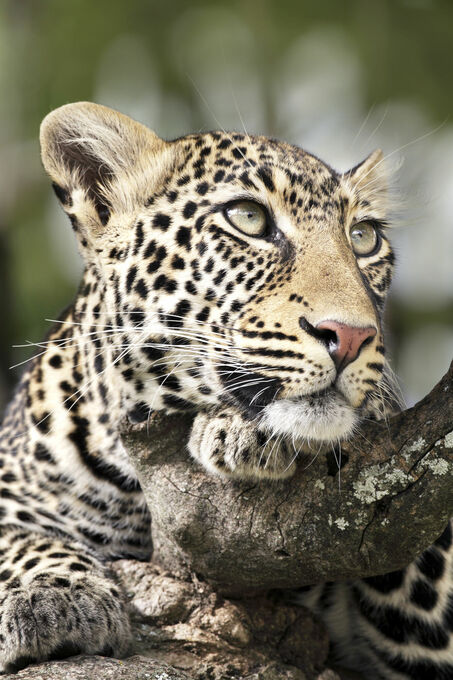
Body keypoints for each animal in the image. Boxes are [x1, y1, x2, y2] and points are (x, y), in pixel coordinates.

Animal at [0, 102, 450, 680]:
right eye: (249, 218)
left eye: (363, 236)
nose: (351, 336)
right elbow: (23, 538)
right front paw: (54, 596)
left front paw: (247, 432)